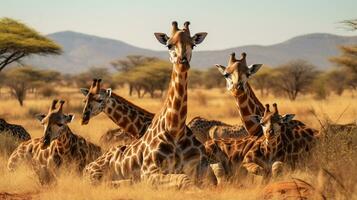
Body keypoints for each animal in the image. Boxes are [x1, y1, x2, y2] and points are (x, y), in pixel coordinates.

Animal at [84, 21, 217, 189]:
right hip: (95, 173)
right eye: (169, 45)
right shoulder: (149, 171)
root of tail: (87, 166)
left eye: (193, 44)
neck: (175, 129)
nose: (183, 62)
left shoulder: (204, 168)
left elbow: (212, 181)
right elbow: (184, 179)